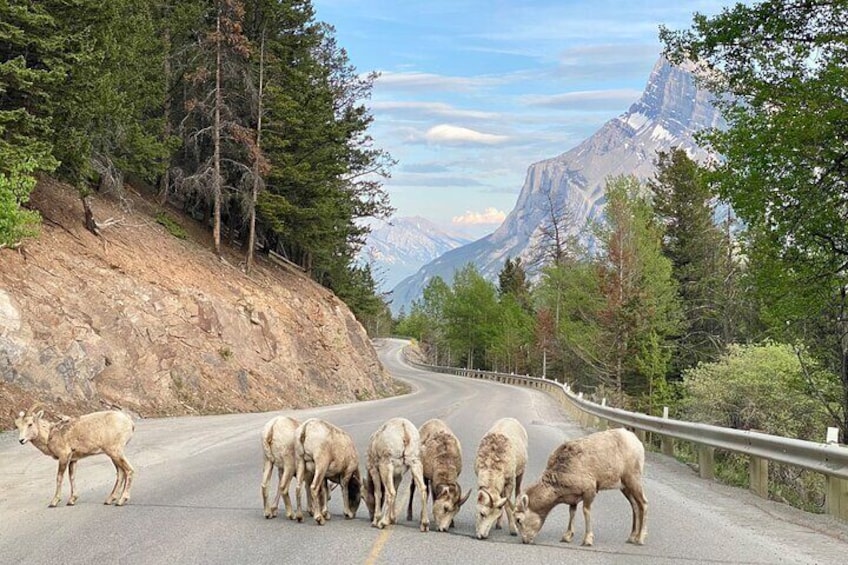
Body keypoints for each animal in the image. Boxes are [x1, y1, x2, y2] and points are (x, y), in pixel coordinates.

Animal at [513, 427, 647, 547]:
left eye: (519, 520)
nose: (525, 540)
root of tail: (637, 442)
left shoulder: (590, 491)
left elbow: (586, 511)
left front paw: (587, 540)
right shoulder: (573, 498)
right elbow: (572, 513)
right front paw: (566, 537)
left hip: (633, 479)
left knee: (643, 503)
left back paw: (640, 539)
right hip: (624, 486)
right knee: (635, 506)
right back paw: (631, 537)